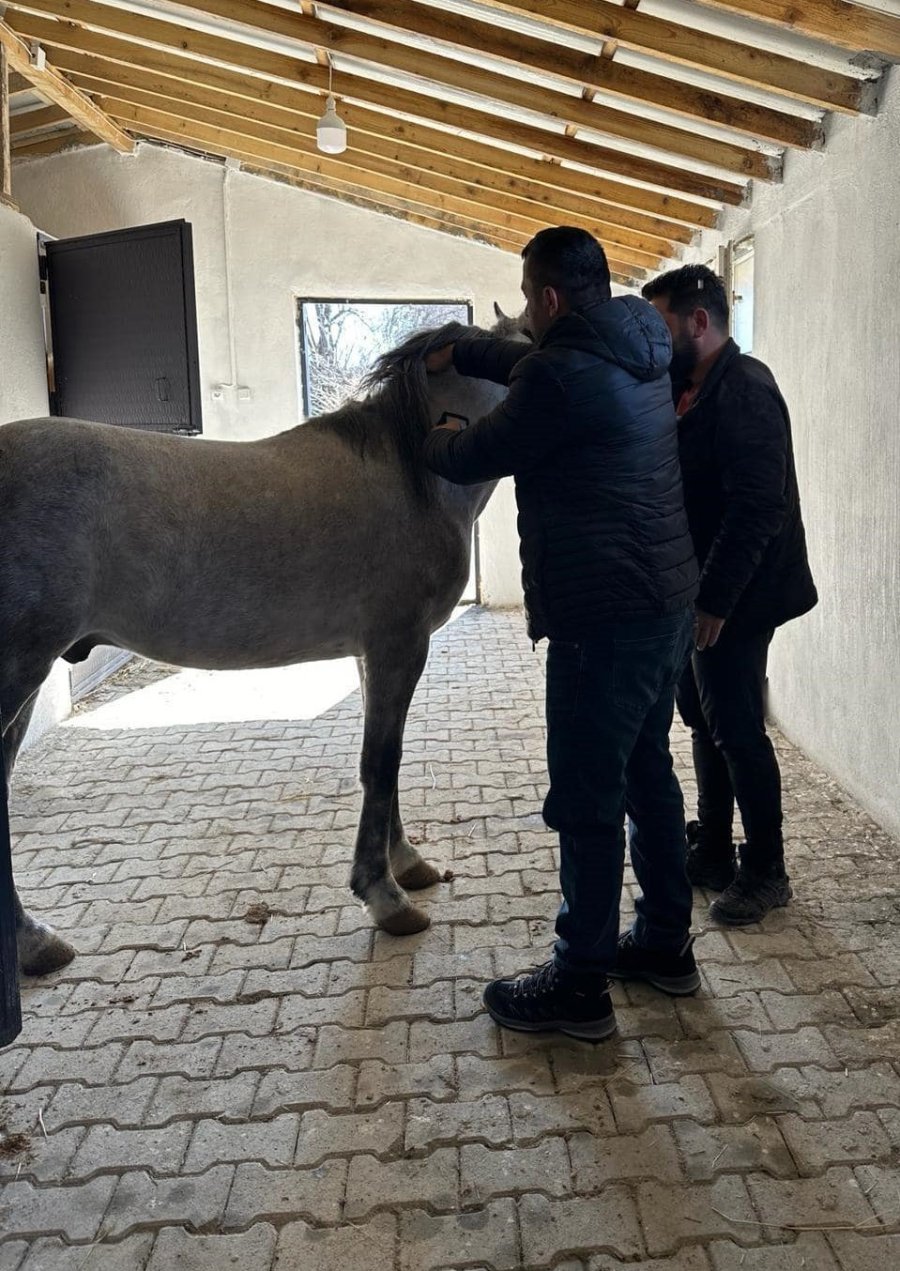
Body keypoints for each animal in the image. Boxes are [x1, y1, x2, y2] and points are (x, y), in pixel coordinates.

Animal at [0, 305, 526, 971]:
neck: (412, 473)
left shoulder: (373, 654)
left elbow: (383, 763)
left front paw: (407, 864)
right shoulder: (399, 646)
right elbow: (381, 762)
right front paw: (386, 897)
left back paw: (34, 943)